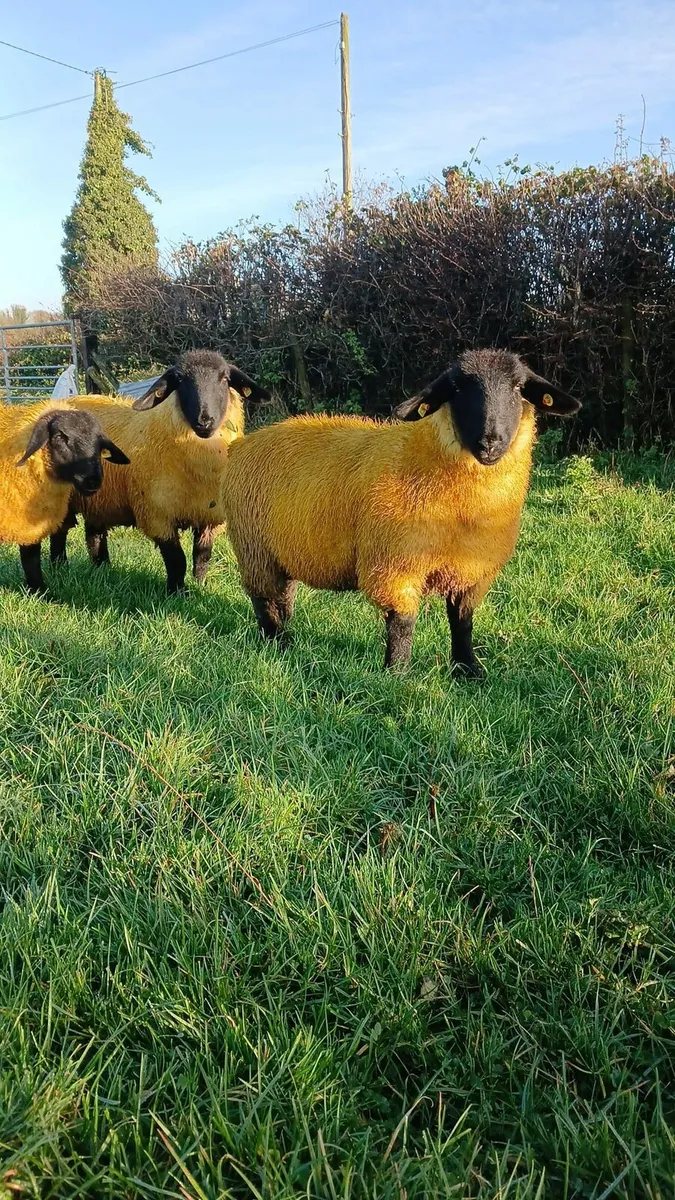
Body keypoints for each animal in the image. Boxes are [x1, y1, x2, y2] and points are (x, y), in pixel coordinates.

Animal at [0, 401, 128, 593]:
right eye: (59, 437)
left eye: (99, 443)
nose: (93, 481)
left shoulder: (31, 522)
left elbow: (31, 558)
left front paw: (40, 592)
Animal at [49, 350, 270, 593]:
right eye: (180, 381)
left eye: (224, 378)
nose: (205, 420)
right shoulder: (157, 516)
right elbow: (176, 560)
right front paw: (176, 593)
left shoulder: (210, 518)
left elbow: (202, 557)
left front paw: (198, 586)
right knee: (59, 532)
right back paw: (59, 567)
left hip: (100, 499)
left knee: (94, 534)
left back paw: (102, 569)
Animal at [222, 349, 581, 674]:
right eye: (457, 388)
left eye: (519, 387)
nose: (490, 441)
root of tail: (241, 445)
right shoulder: (396, 565)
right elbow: (403, 624)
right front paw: (398, 675)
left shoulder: (472, 570)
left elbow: (462, 621)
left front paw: (468, 669)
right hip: (253, 547)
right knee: (263, 599)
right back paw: (278, 642)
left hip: (282, 549)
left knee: (284, 594)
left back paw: (289, 637)